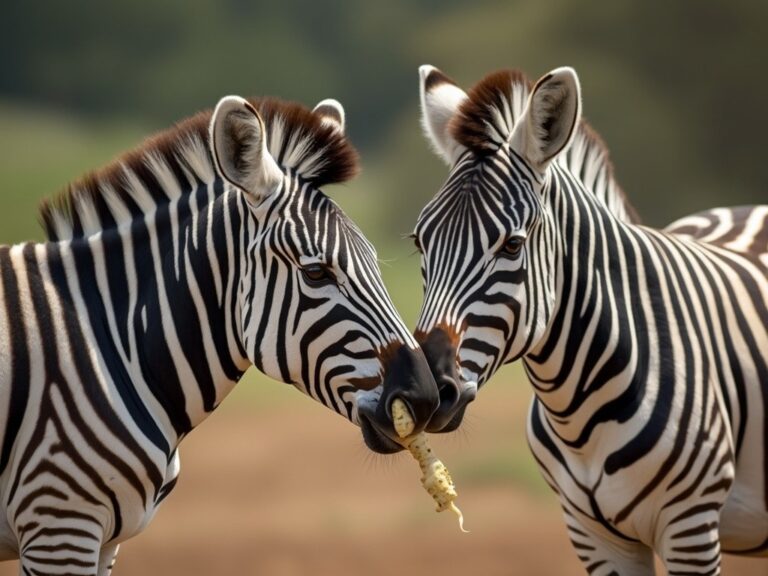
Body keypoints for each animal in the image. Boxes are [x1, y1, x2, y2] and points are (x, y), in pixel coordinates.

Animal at [0, 95, 436, 576]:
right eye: (316, 273)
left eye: (376, 264)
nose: (425, 398)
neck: (109, 343)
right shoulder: (59, 522)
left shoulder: (103, 541)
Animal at [412, 65, 768, 572]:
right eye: (420, 242)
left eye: (512, 245)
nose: (425, 389)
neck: (576, 411)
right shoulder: (591, 534)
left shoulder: (691, 526)